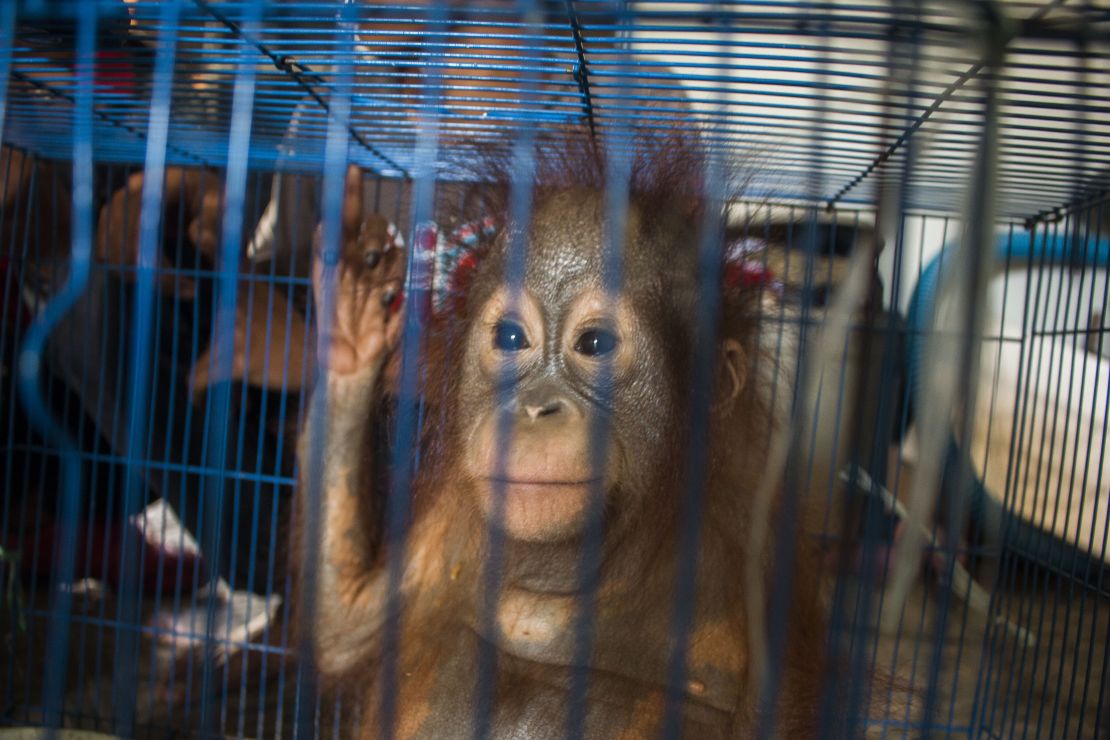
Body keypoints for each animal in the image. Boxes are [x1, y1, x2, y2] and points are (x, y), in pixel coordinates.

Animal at [295, 137, 843, 738]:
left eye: (595, 344)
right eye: (512, 338)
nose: (537, 408)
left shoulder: (764, 574)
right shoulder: (449, 527)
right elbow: (344, 628)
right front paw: (352, 323)